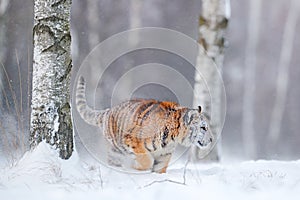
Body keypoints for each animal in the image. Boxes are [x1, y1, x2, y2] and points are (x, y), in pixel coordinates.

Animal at [76, 76, 214, 173]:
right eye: (203, 127)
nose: (212, 139)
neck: (172, 138)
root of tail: (108, 111)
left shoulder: (164, 155)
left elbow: (160, 169)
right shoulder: (134, 141)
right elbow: (146, 160)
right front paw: (135, 167)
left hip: (115, 151)